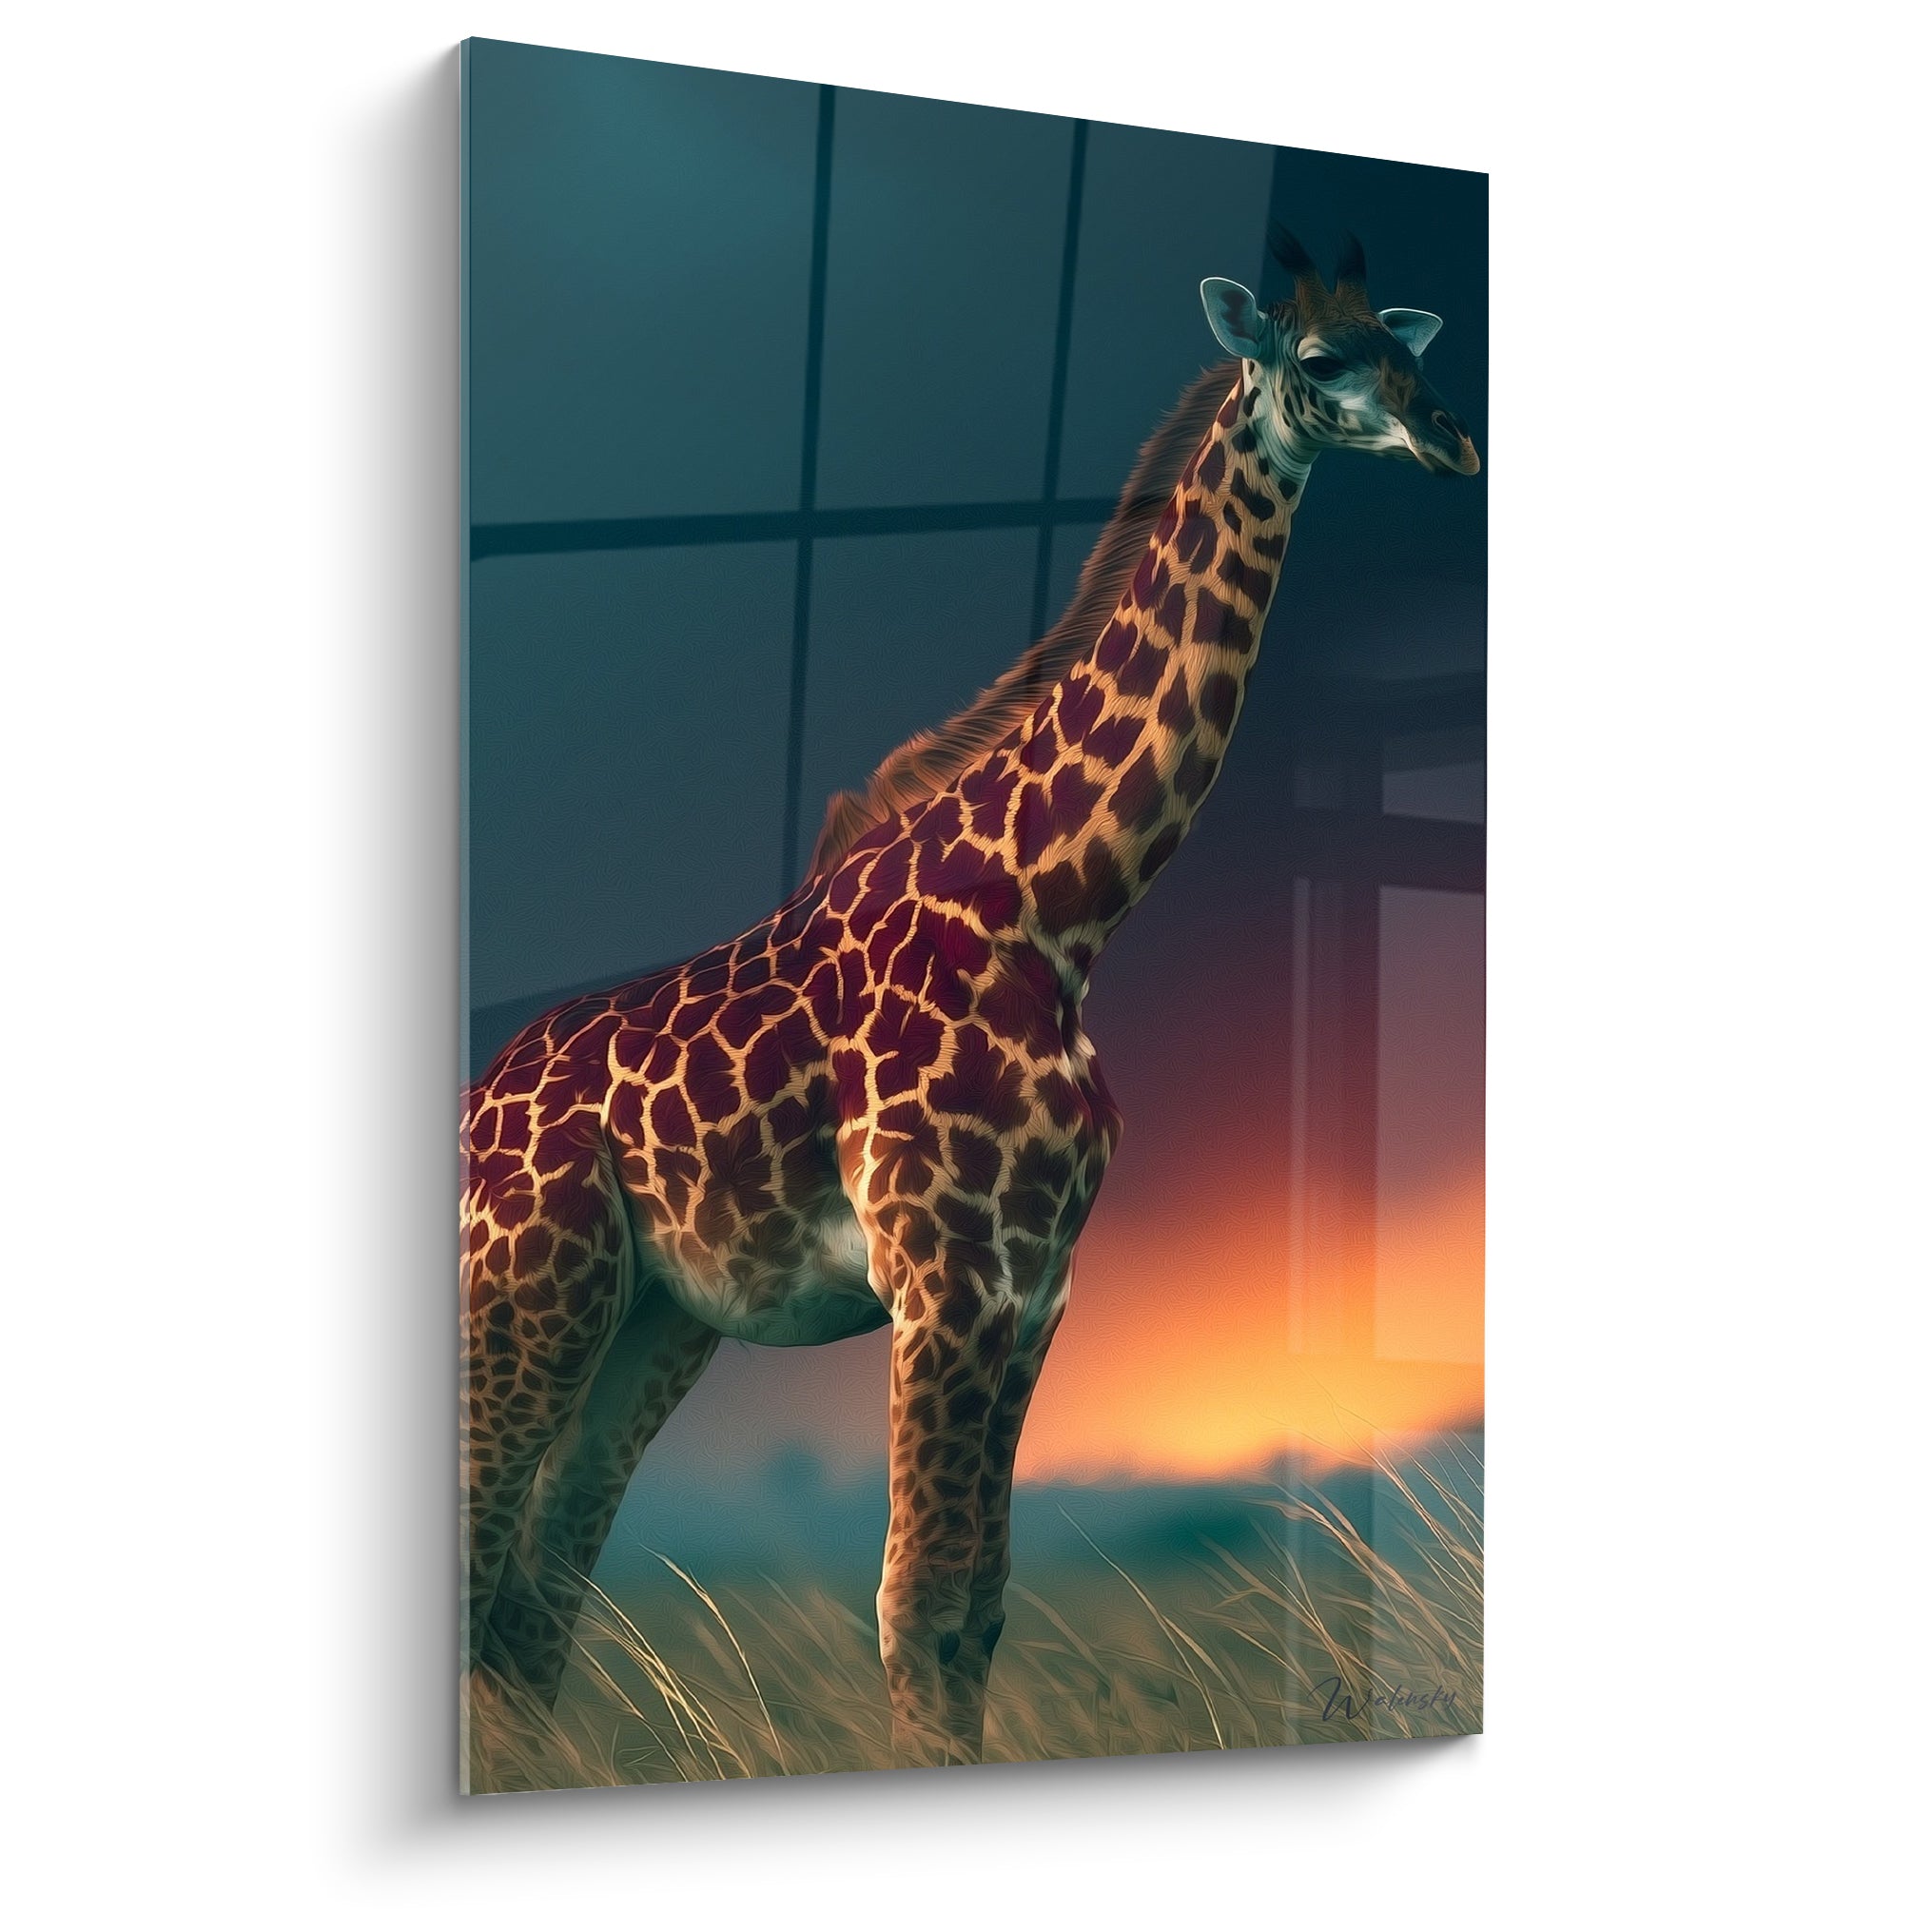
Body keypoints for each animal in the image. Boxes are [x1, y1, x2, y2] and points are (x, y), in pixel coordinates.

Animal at [461, 227, 1480, 1776]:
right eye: (1319, 356)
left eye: (1405, 344)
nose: (1449, 439)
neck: (1057, 906)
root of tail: (473, 1110)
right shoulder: (940, 1268)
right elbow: (918, 1601)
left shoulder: (1035, 1281)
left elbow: (976, 1609)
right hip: (524, 1294)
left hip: (647, 1324)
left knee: (529, 1606)